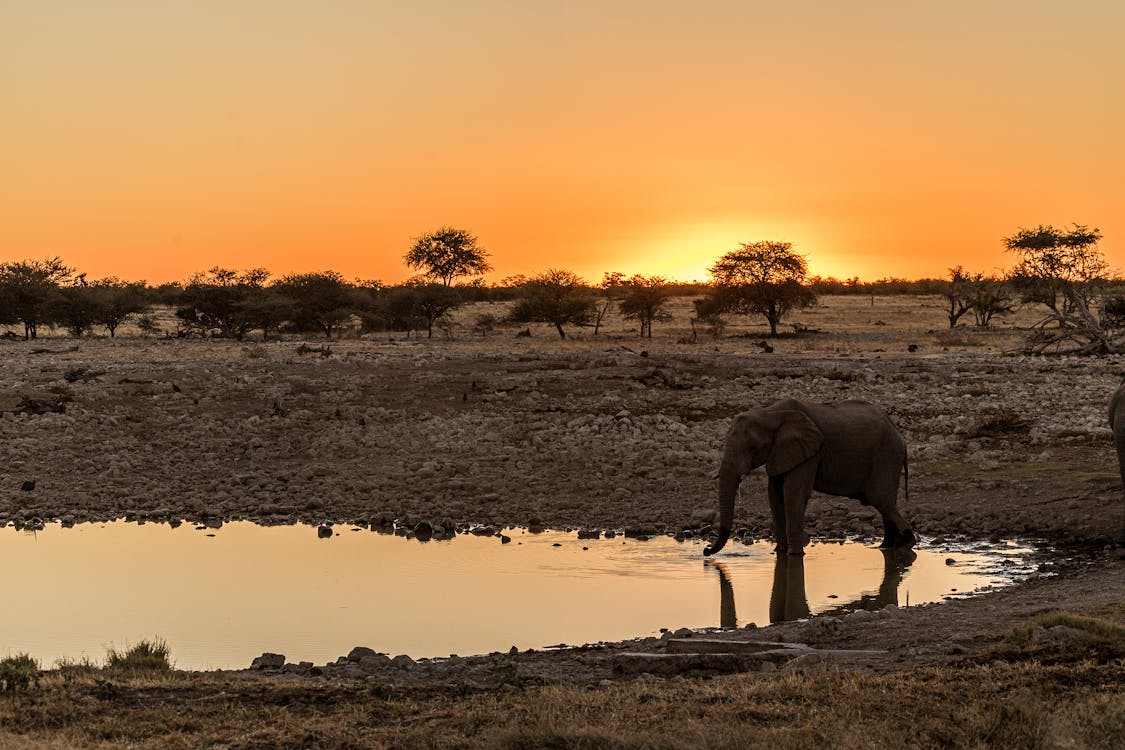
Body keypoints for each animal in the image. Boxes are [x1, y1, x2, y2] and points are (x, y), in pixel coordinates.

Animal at [702, 398, 913, 557]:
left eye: (753, 448)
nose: (706, 551)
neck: (770, 414)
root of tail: (900, 436)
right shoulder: (780, 452)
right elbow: (775, 497)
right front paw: (779, 552)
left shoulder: (810, 452)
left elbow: (793, 494)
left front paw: (794, 555)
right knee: (885, 504)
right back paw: (886, 547)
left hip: (887, 456)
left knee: (880, 500)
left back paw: (907, 543)